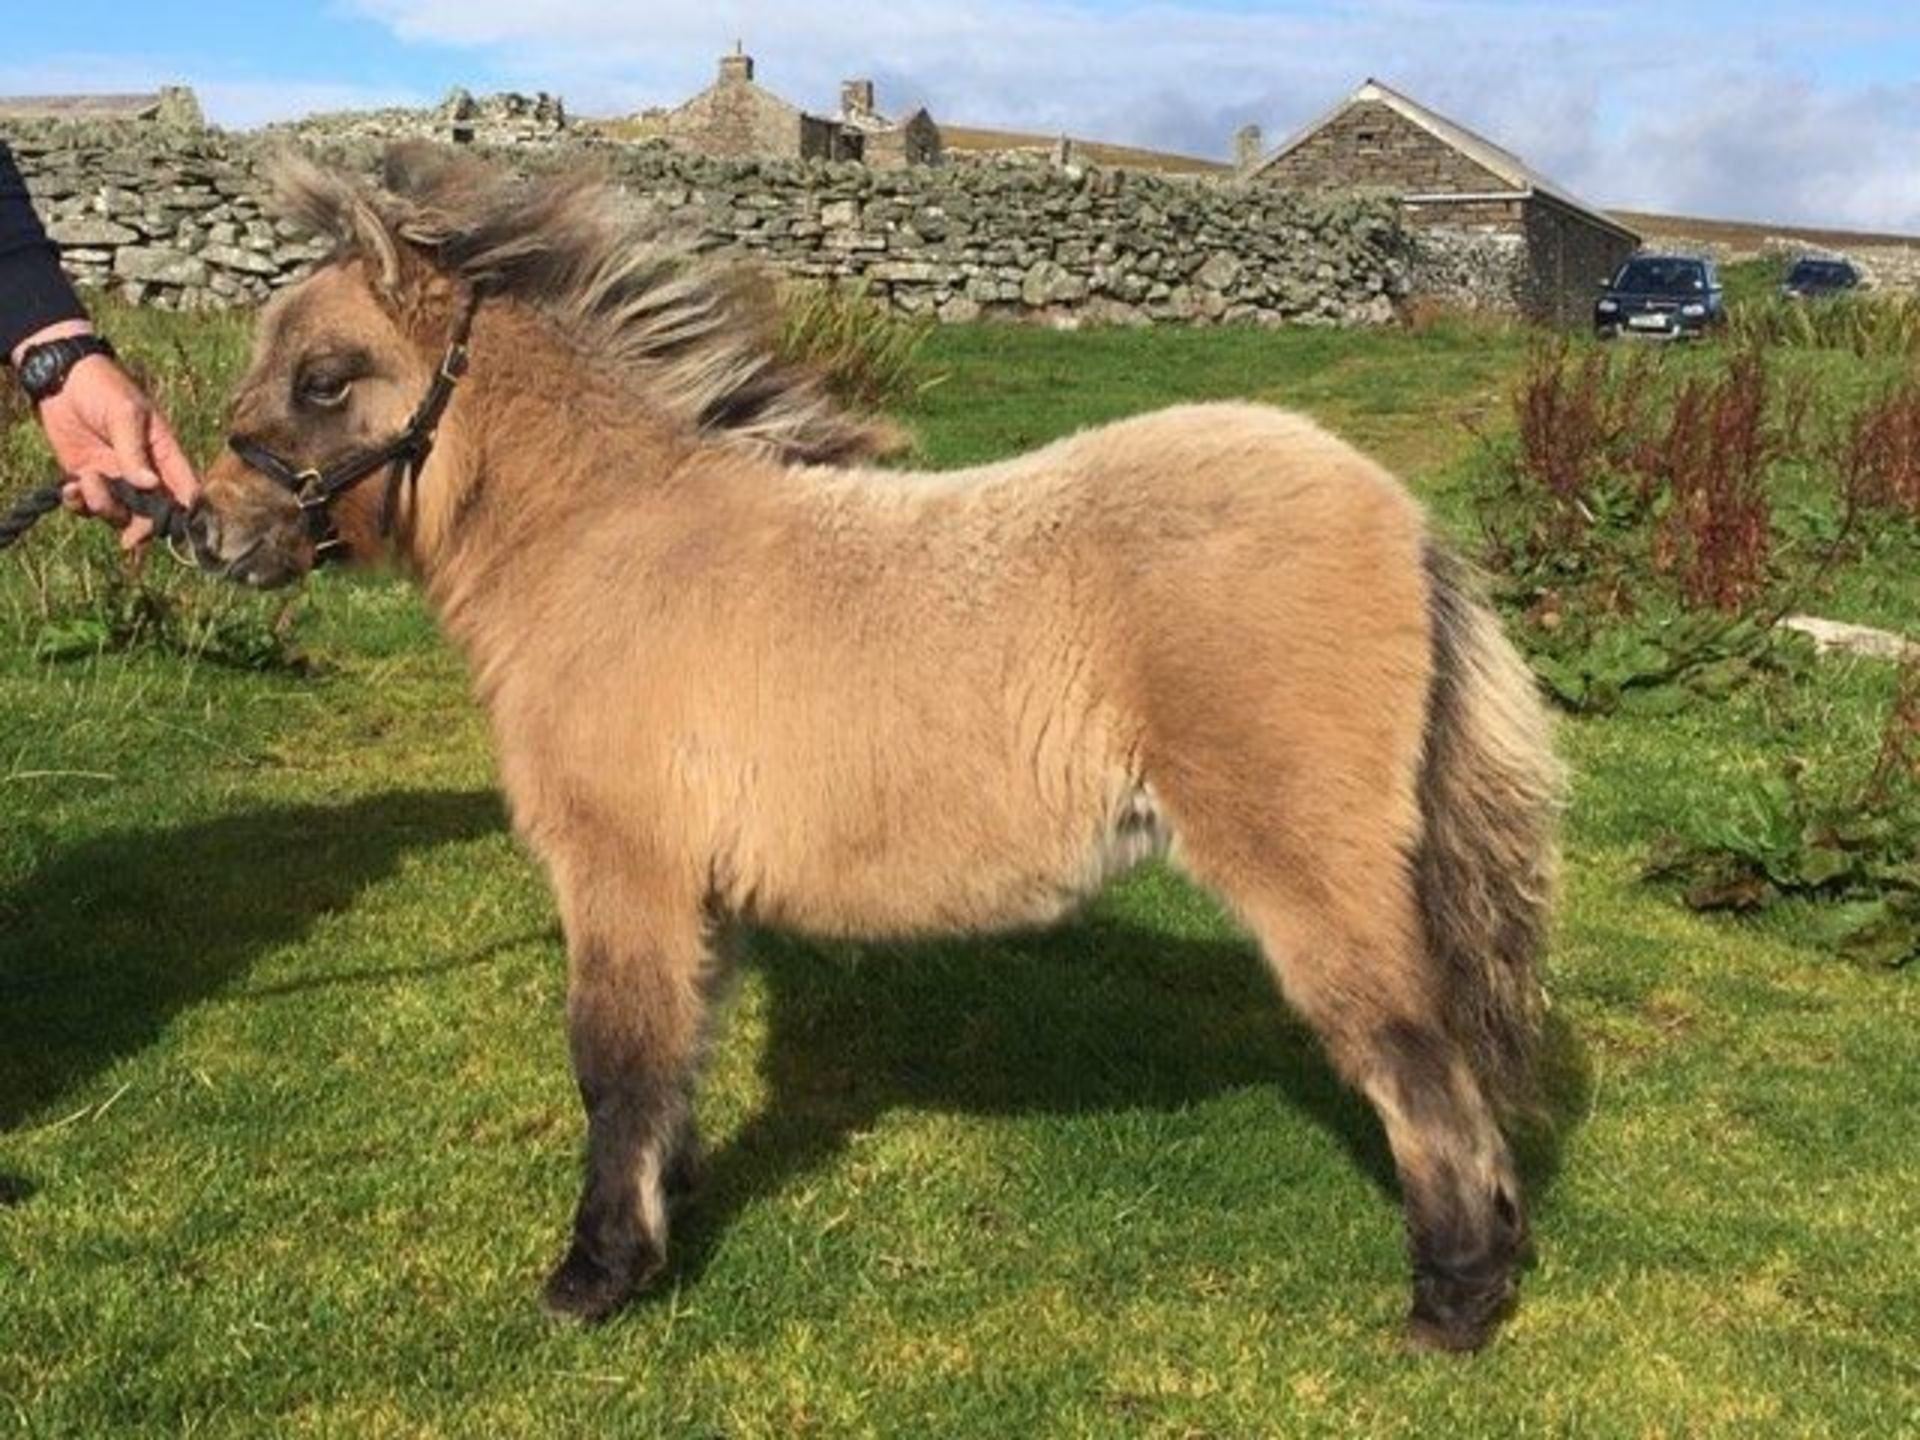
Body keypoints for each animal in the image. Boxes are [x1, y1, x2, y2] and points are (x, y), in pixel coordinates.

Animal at [191, 146, 1559, 1351]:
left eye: (327, 377)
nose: (210, 531)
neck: (610, 545)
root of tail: (1399, 516)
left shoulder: (622, 869)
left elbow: (615, 1059)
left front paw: (597, 1271)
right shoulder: (697, 892)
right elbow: (677, 1053)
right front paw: (665, 1210)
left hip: (1310, 865)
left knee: (1413, 1056)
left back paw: (1454, 1299)